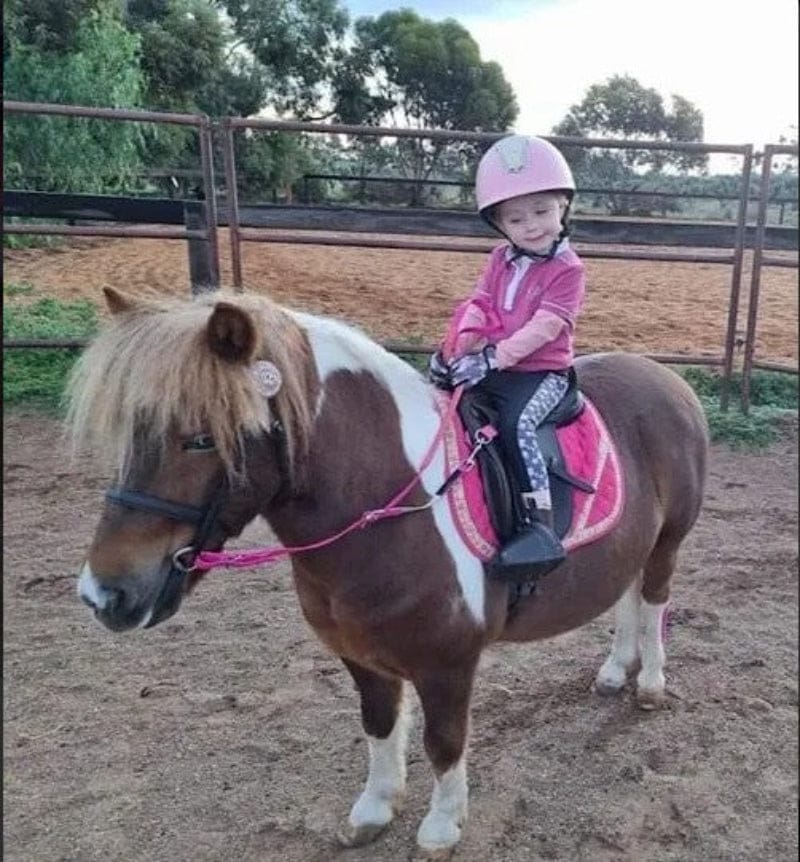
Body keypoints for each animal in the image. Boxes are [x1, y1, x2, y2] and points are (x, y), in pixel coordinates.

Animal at [68, 286, 708, 858]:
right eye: (130, 432)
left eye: (201, 439)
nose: (104, 593)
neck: (391, 506)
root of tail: (667, 378)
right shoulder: (361, 655)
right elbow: (378, 725)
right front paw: (373, 811)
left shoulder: (449, 663)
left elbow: (444, 740)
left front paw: (442, 827)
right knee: (626, 594)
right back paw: (615, 670)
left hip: (668, 541)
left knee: (653, 598)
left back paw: (650, 683)